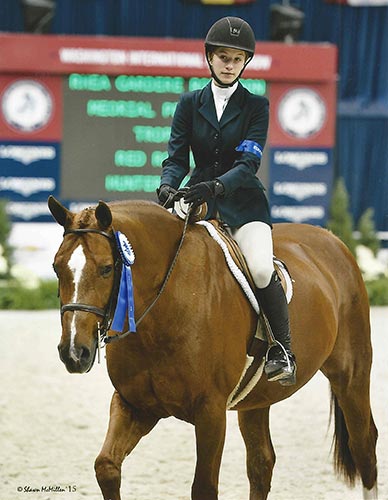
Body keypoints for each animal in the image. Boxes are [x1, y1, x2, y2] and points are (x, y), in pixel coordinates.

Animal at [47, 195, 378, 500]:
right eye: (56, 268)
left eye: (106, 269)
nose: (74, 352)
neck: (166, 305)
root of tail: (332, 239)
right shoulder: (134, 404)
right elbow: (106, 467)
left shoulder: (211, 412)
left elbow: (204, 487)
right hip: (257, 399)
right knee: (261, 463)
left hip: (351, 375)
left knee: (364, 445)